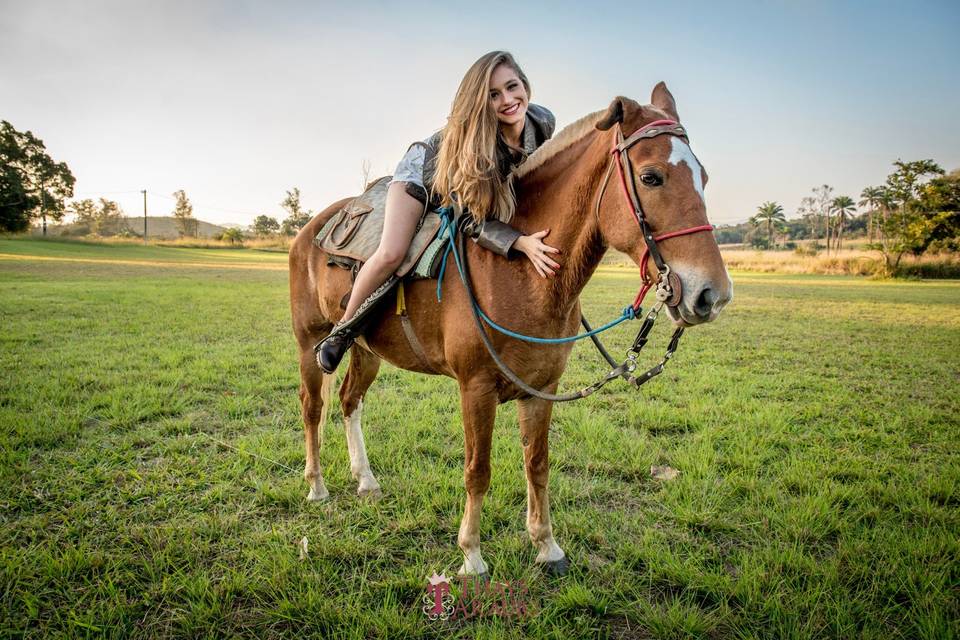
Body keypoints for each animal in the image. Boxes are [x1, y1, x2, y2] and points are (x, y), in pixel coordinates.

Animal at [288, 82, 732, 576]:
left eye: (704, 177)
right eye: (652, 177)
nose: (712, 294)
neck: (520, 274)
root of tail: (312, 227)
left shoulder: (541, 389)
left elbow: (537, 464)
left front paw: (547, 546)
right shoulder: (476, 388)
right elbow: (478, 470)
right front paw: (472, 557)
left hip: (368, 349)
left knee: (350, 401)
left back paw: (365, 480)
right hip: (311, 342)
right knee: (312, 406)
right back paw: (316, 486)